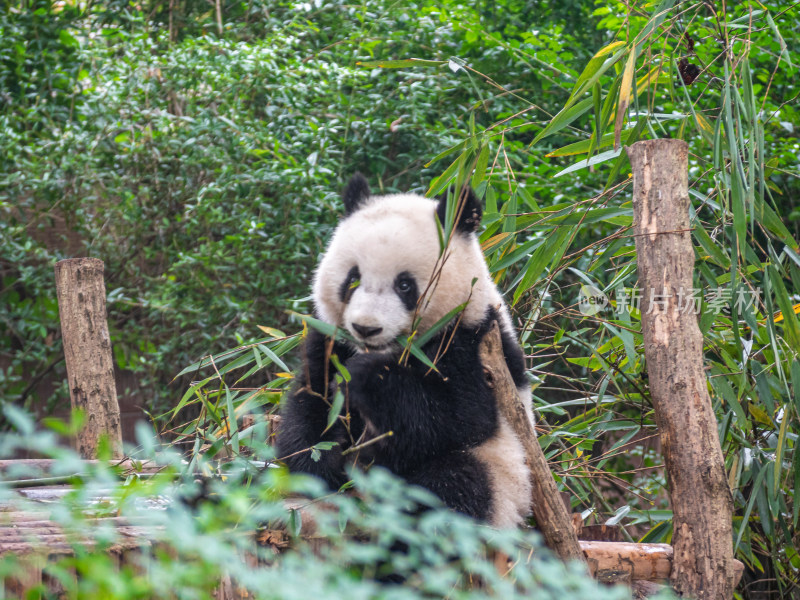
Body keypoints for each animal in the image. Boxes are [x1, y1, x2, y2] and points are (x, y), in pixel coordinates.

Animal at [278, 173, 536, 528]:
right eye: (352, 279)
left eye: (404, 285)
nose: (366, 328)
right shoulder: (330, 340)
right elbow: (310, 405)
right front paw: (321, 465)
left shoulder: (469, 341)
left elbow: (461, 418)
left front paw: (367, 377)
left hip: (504, 481)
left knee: (452, 485)